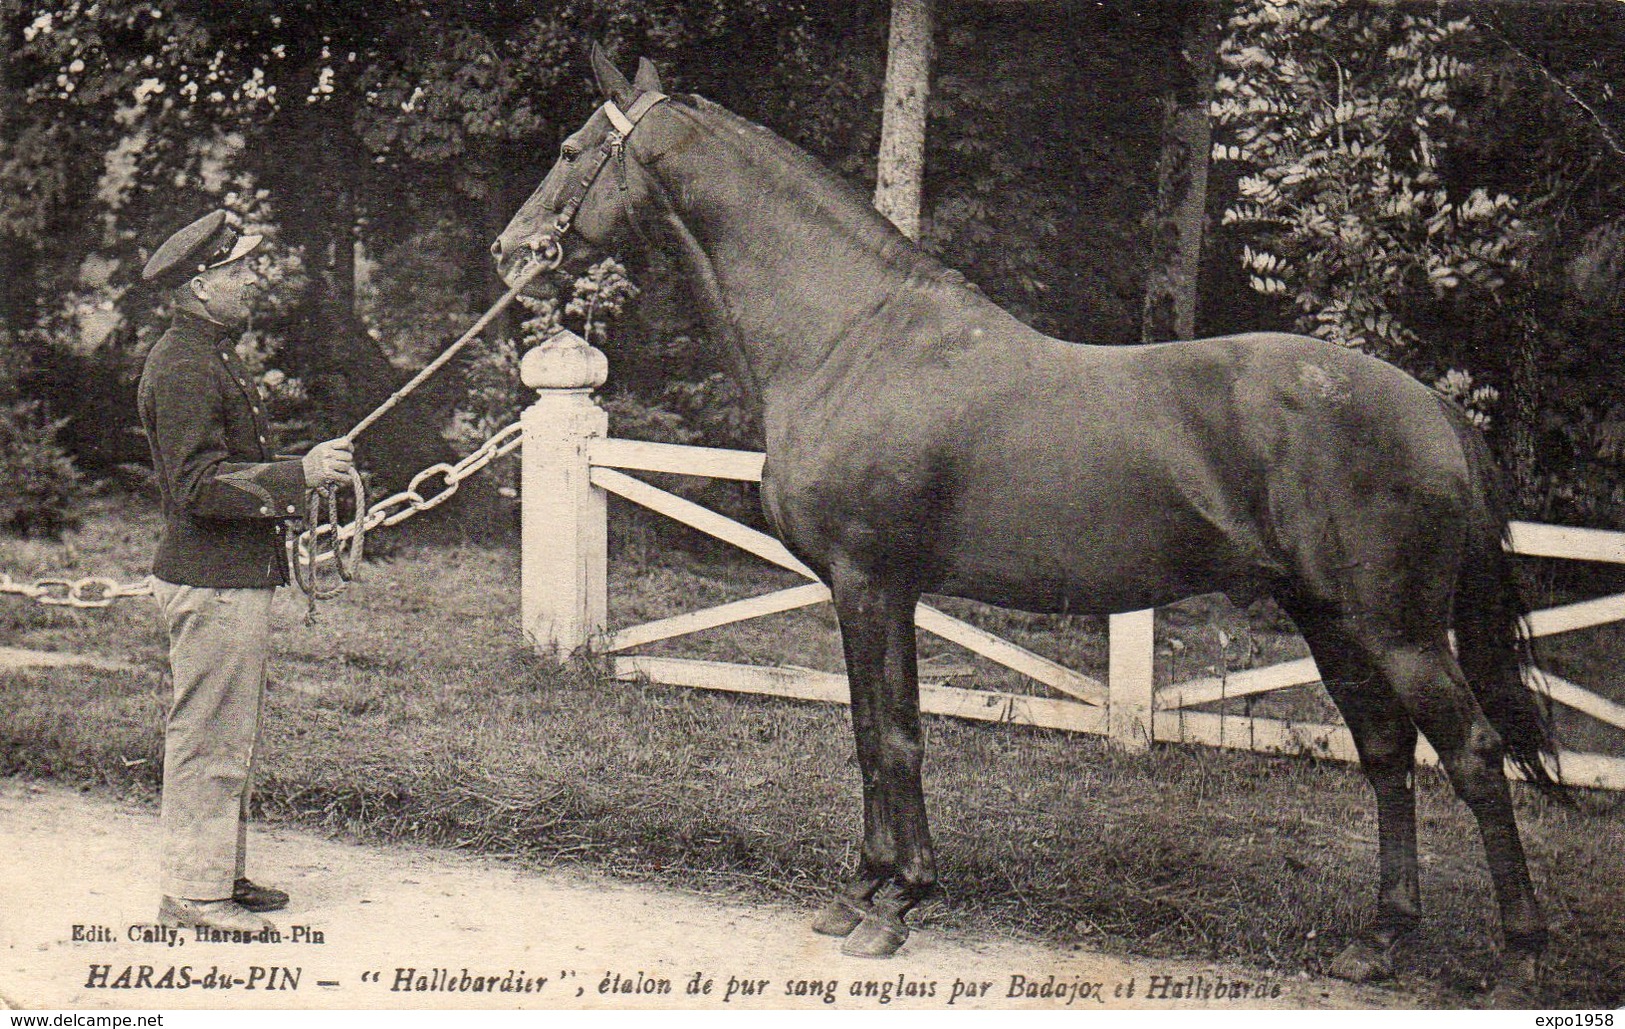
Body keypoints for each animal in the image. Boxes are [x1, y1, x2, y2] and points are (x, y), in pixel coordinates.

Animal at [494, 46, 1560, 994]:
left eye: (572, 147)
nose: (509, 251)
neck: (850, 338)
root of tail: (1431, 406)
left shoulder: (869, 581)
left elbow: (891, 735)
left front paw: (894, 904)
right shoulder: (878, 590)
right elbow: (873, 729)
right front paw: (865, 890)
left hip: (1397, 627)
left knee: (1471, 755)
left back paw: (1517, 954)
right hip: (1328, 617)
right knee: (1385, 752)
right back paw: (1379, 941)